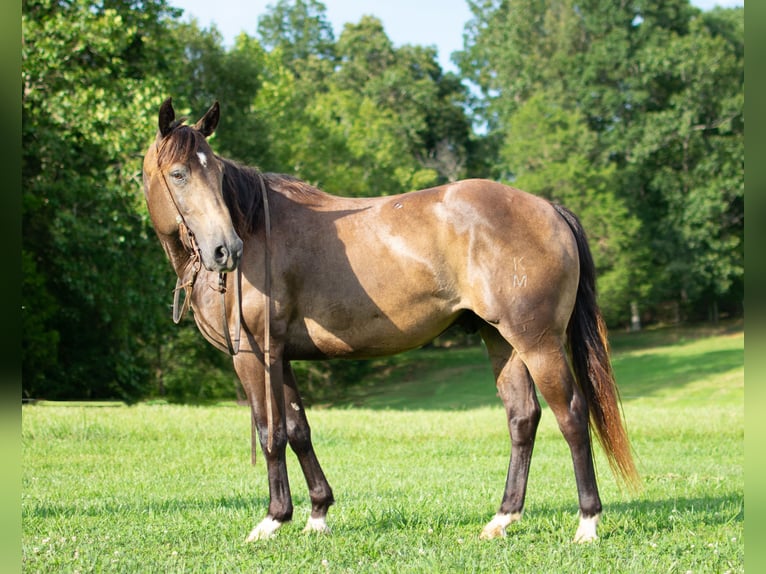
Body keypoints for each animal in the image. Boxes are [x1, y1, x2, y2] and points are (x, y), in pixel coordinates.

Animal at [141, 98, 640, 544]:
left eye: (217, 173)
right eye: (179, 173)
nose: (226, 250)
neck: (257, 227)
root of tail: (549, 208)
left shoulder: (252, 354)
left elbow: (271, 432)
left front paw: (273, 519)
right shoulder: (279, 356)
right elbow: (299, 430)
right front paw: (317, 514)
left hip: (537, 342)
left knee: (571, 415)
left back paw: (587, 522)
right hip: (502, 340)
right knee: (523, 417)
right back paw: (502, 519)